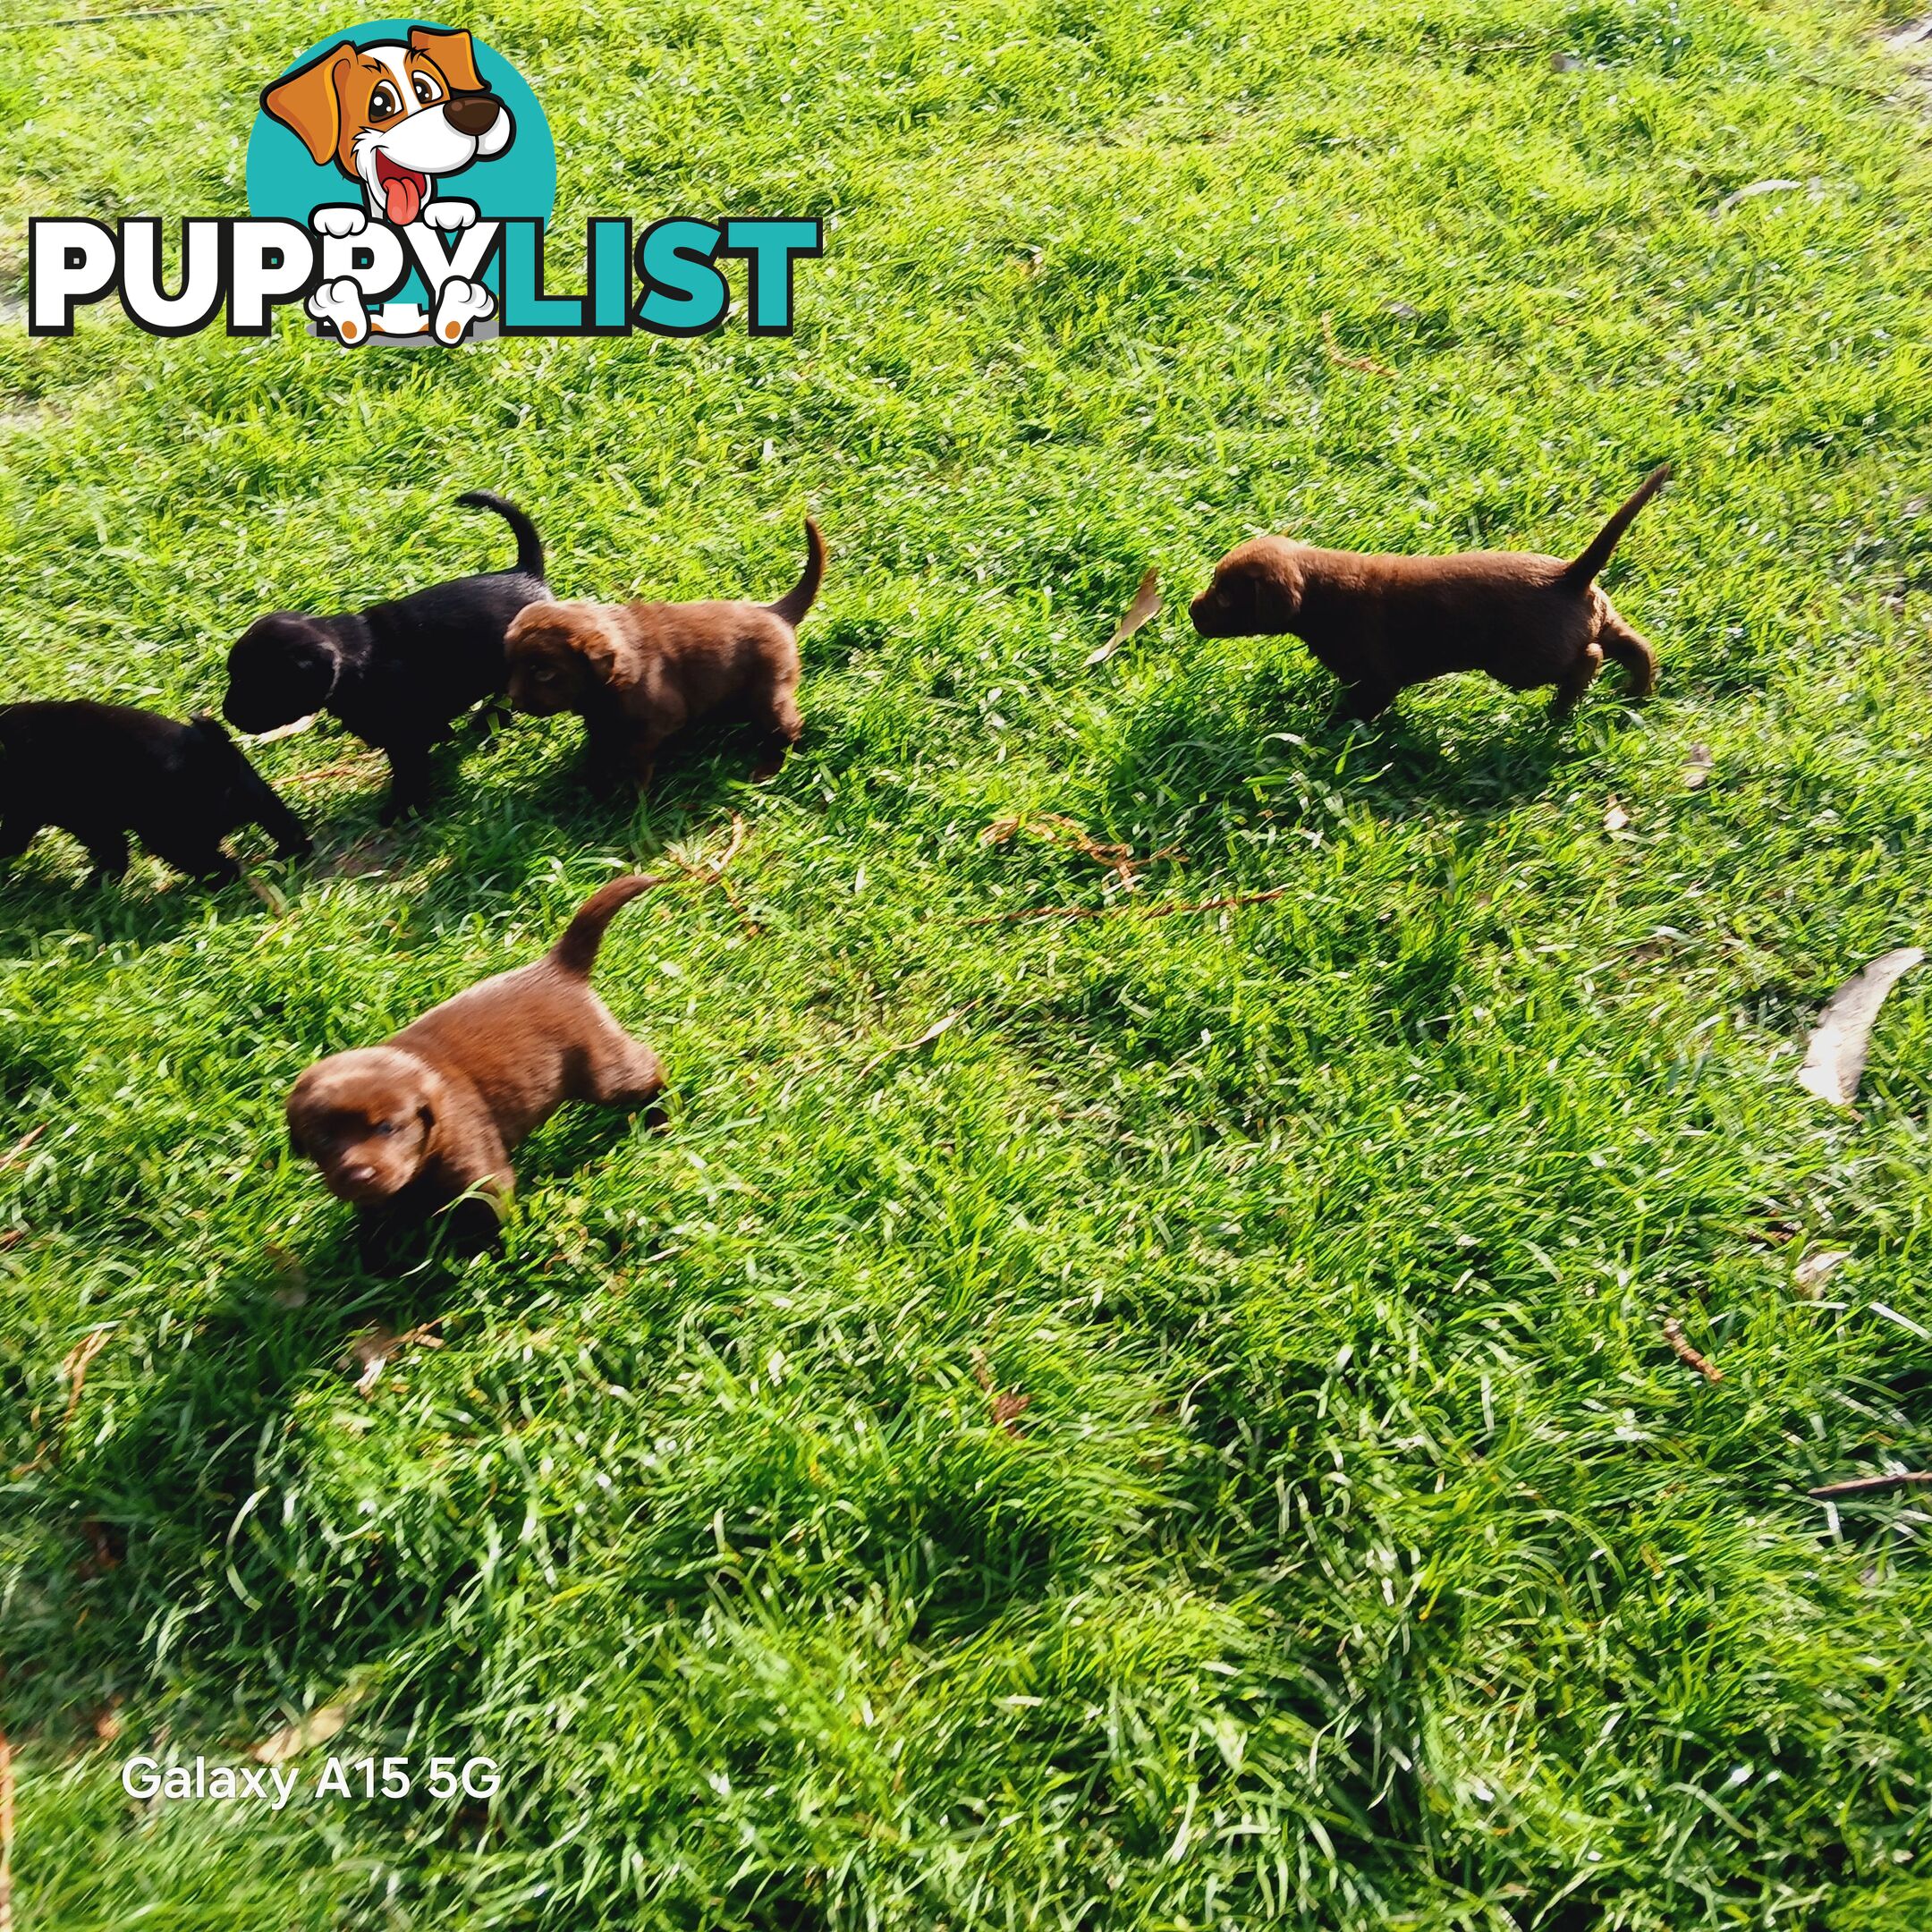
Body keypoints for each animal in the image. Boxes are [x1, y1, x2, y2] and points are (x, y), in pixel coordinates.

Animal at [0, 703, 307, 885]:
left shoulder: (73, 819)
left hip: (172, 839)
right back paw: (291, 856)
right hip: (260, 800)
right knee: (288, 829)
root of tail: (216, 756)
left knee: (221, 868)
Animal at [222, 487, 548, 818]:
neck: (352, 658)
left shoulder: (405, 738)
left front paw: (404, 809)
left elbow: (409, 773)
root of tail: (526, 574)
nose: (227, 715)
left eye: (259, 684)